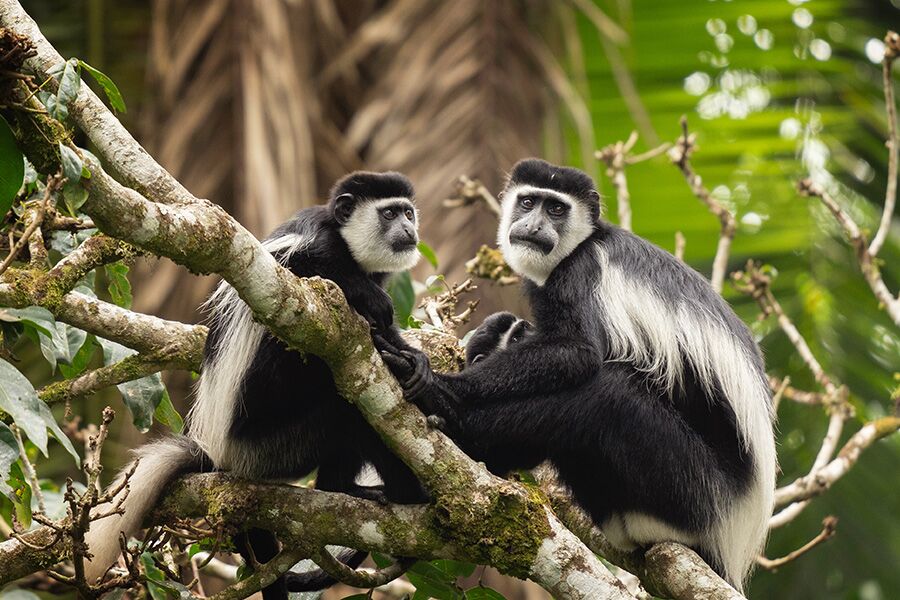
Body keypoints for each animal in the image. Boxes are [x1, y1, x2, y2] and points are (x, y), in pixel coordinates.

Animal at [85, 171, 427, 598]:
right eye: (390, 213)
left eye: (408, 212)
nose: (410, 229)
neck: (349, 245)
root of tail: (221, 455)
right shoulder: (317, 240)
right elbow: (303, 266)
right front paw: (374, 304)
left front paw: (414, 360)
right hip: (275, 442)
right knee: (338, 399)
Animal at [377, 158, 777, 592]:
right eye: (528, 202)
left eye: (556, 209)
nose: (534, 226)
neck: (585, 241)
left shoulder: (581, 272)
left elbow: (578, 353)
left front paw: (442, 387)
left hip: (696, 491)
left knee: (607, 396)